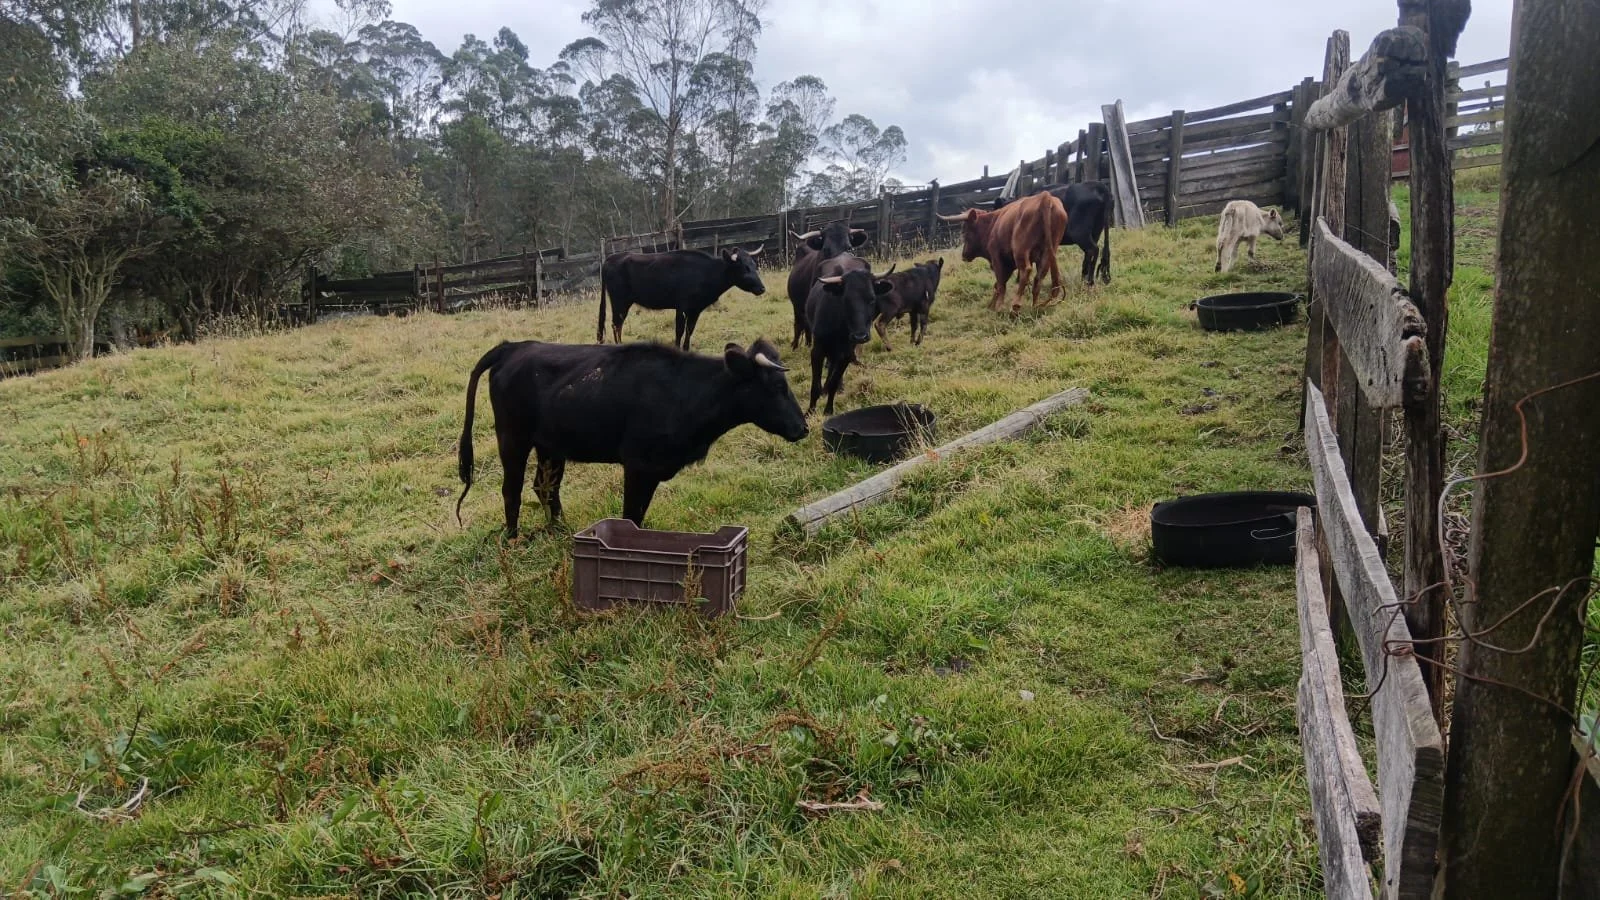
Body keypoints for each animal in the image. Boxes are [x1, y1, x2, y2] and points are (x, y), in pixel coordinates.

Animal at [456, 337, 807, 535]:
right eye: (777, 387)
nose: (803, 428)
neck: (686, 392)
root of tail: (514, 347)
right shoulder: (638, 465)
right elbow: (631, 516)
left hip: (550, 446)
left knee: (545, 488)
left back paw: (559, 530)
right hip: (513, 438)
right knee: (511, 490)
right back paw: (512, 537)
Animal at [596, 245, 765, 351]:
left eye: (753, 264)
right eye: (744, 268)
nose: (762, 288)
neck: (706, 272)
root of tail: (610, 259)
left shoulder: (695, 310)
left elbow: (689, 330)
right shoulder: (682, 307)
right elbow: (679, 331)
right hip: (620, 302)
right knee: (616, 325)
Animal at [805, 254, 893, 415]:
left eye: (872, 299)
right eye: (846, 299)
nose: (860, 337)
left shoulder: (846, 354)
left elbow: (834, 382)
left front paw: (828, 410)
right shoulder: (817, 351)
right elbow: (815, 386)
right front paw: (809, 412)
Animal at [938, 191, 1067, 313]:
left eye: (964, 230)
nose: (964, 255)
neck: (992, 224)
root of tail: (1045, 197)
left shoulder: (997, 258)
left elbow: (1000, 284)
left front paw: (998, 307)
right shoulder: (1009, 264)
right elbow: (999, 284)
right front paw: (992, 305)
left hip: (1021, 250)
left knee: (1025, 270)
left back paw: (1015, 306)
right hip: (1048, 252)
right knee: (1039, 276)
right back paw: (1035, 306)